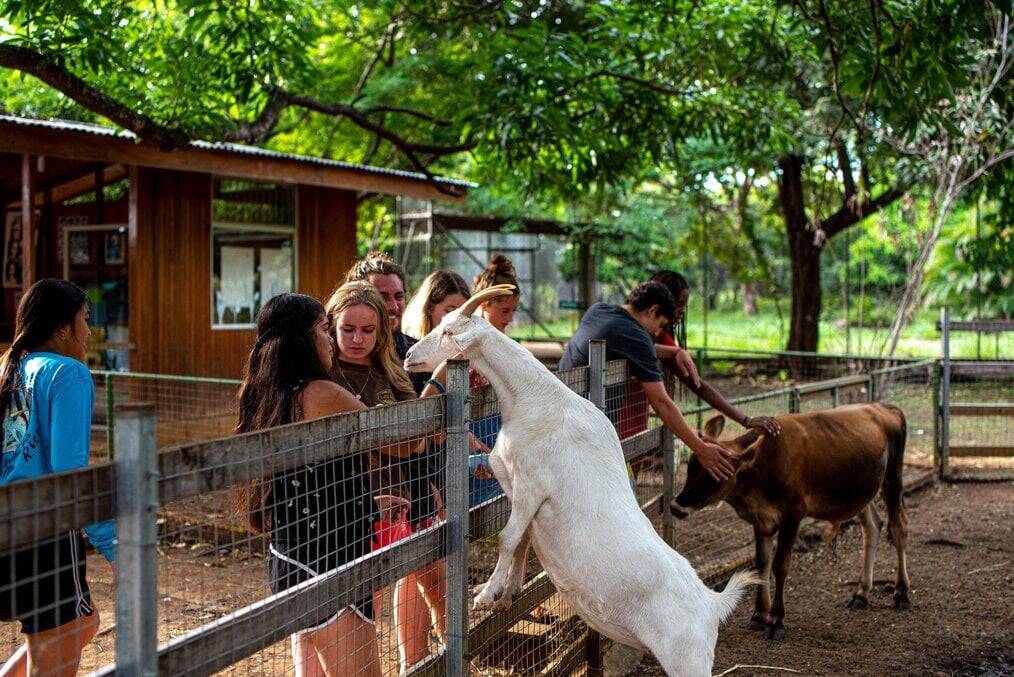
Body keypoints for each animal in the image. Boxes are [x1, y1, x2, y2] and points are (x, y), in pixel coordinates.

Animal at [404, 284, 755, 677]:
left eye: (449, 331)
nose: (408, 356)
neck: (535, 400)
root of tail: (713, 605)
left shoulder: (532, 485)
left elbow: (509, 538)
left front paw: (484, 595)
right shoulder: (513, 484)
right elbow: (523, 539)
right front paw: (507, 595)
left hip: (687, 659)